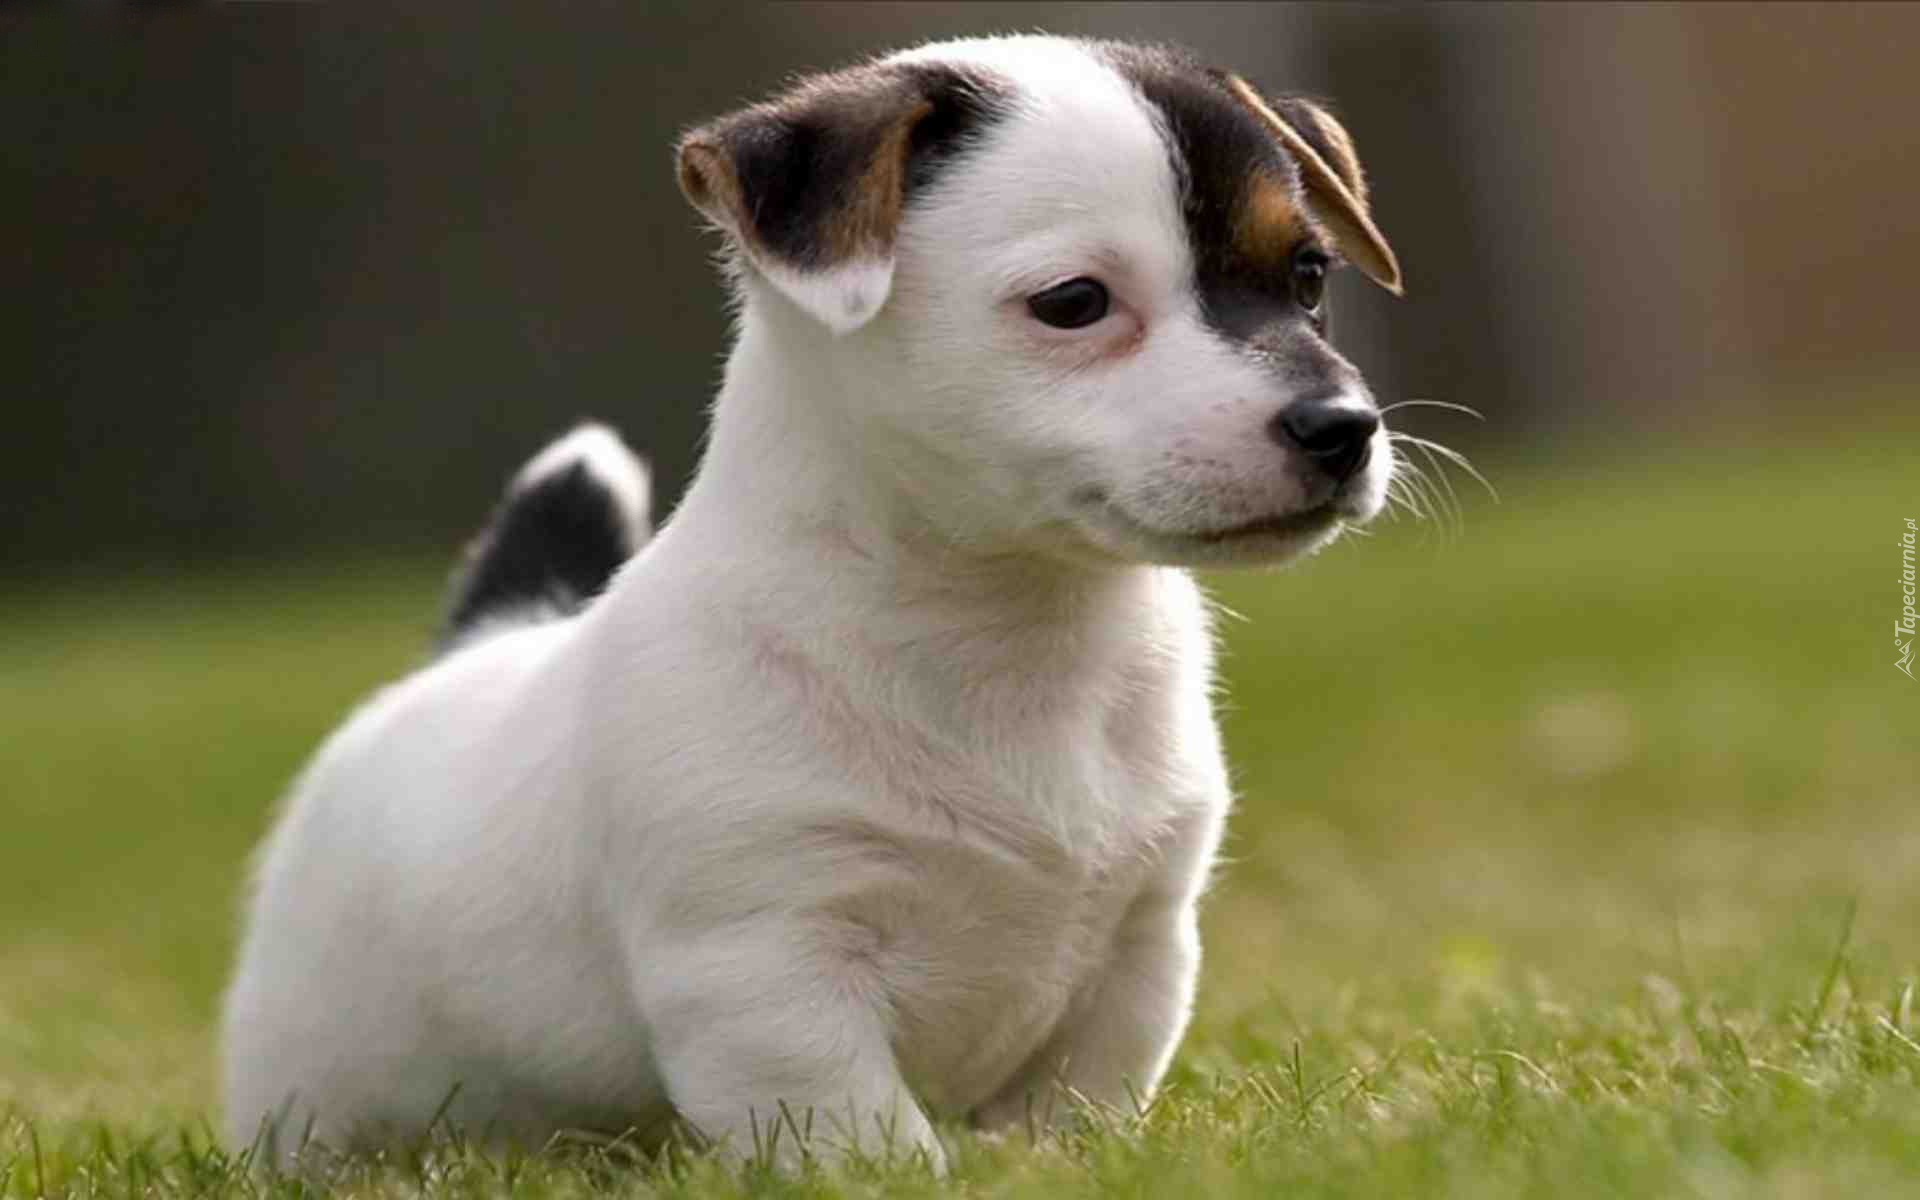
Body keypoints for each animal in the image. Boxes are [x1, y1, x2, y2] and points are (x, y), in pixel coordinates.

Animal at [224, 32, 1405, 1167]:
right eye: (1074, 303)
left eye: (1308, 275)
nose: (1342, 428)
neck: (1008, 628)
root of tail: (475, 647)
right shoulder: (767, 973)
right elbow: (866, 1137)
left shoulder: (1139, 948)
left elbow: (1077, 1110)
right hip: (310, 1074)